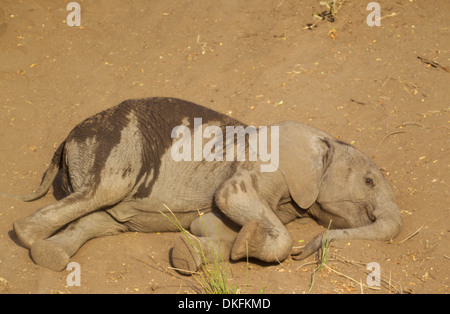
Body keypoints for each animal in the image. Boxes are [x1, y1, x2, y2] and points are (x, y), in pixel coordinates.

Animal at [9, 97, 400, 272]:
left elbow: (213, 224)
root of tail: (65, 141)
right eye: (368, 181)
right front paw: (252, 244)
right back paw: (27, 238)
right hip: (113, 150)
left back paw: (49, 256)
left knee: (102, 219)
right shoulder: (262, 164)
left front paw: (210, 248)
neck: (321, 140)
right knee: (99, 195)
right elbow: (228, 199)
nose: (305, 255)